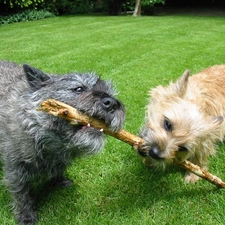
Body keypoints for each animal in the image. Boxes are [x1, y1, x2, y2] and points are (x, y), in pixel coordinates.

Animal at [0, 60, 125, 224]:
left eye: (111, 92)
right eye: (78, 88)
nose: (112, 103)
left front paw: (59, 181)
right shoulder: (15, 169)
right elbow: (21, 194)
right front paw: (25, 216)